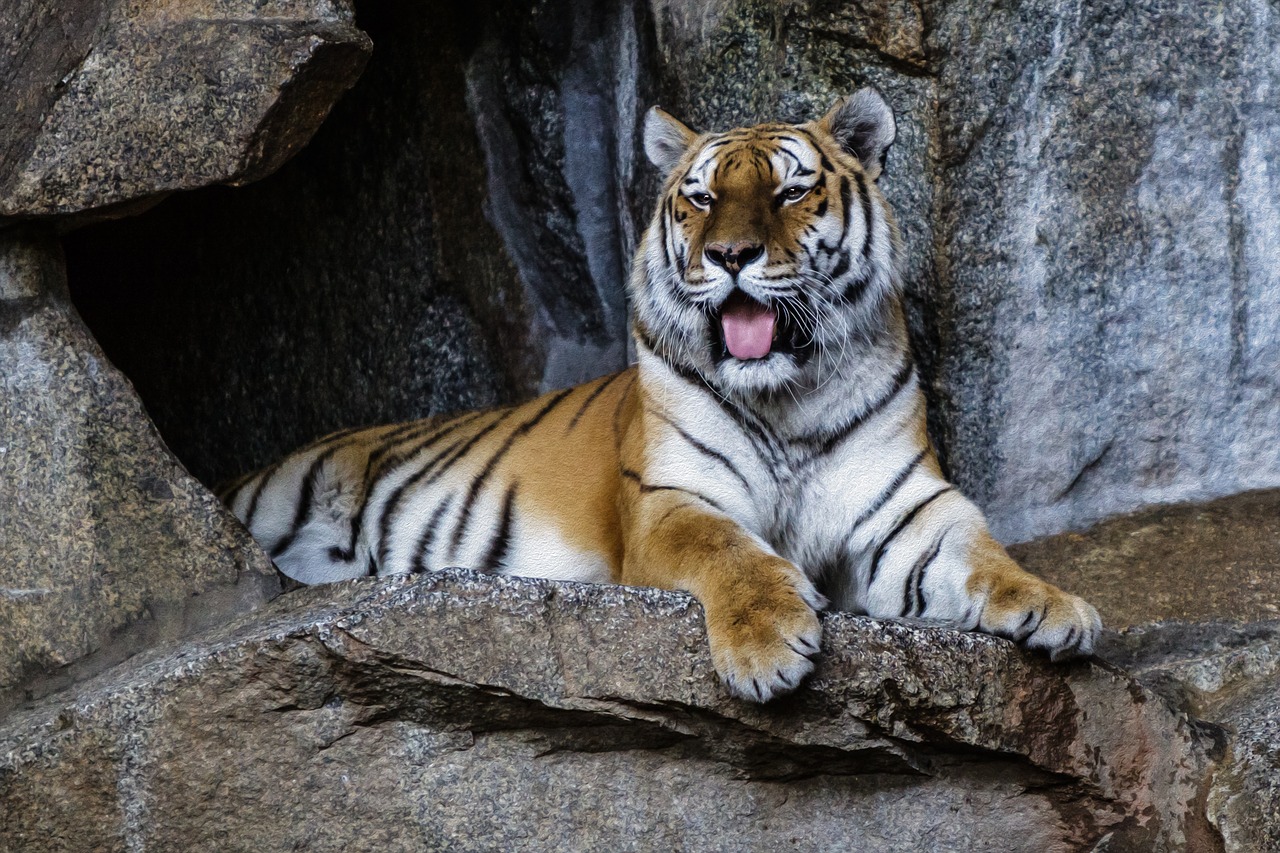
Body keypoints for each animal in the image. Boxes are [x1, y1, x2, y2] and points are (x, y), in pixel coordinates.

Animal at [220, 87, 1100, 696]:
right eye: (702, 197)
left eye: (789, 192)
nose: (731, 255)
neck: (788, 397)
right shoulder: (670, 500)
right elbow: (728, 550)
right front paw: (767, 647)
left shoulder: (907, 510)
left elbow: (980, 549)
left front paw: (1053, 604)